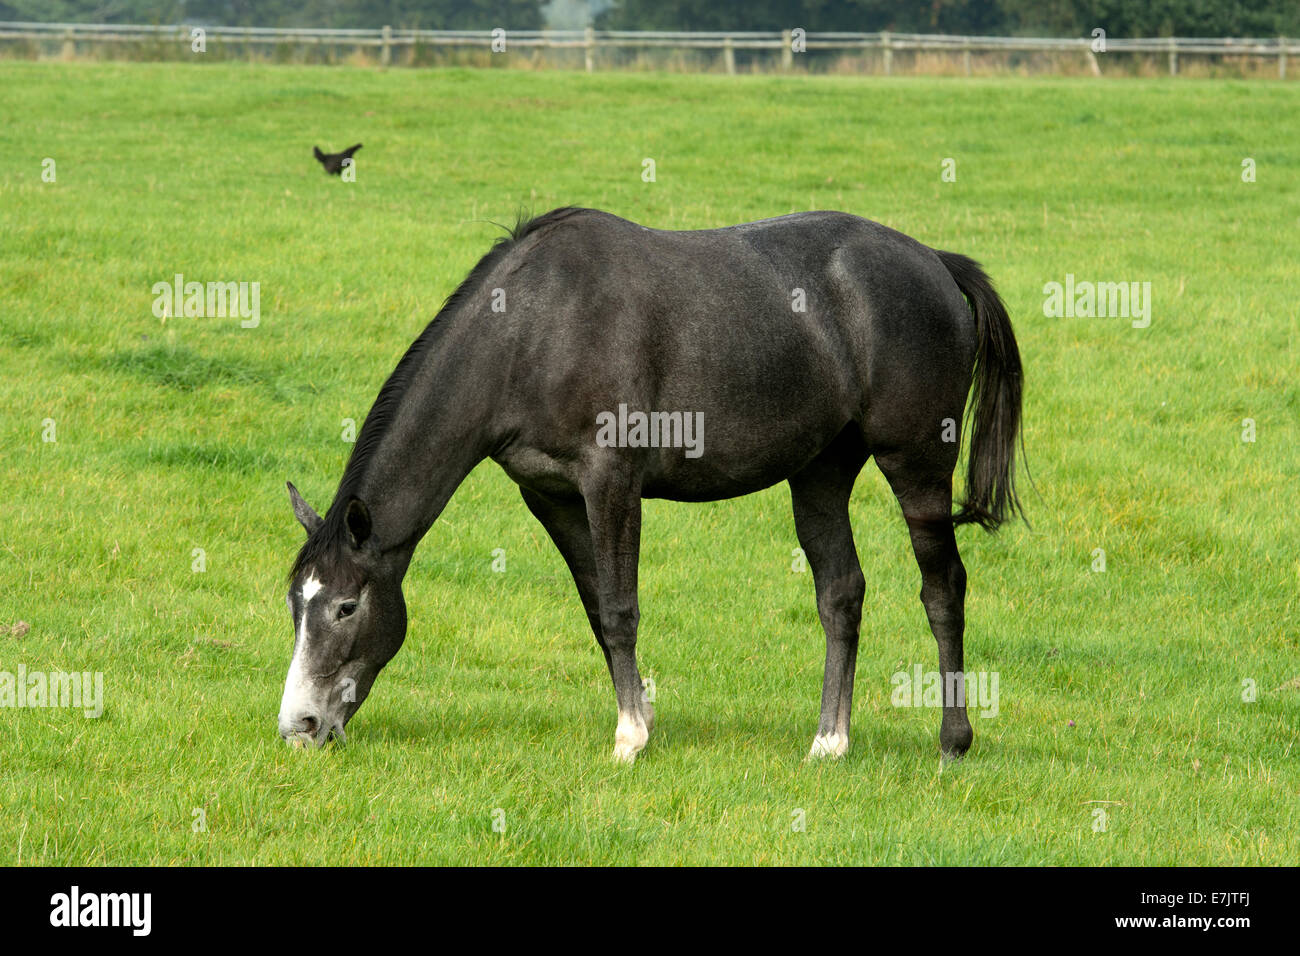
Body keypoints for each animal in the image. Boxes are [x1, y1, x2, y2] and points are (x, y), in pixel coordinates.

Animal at [279, 208, 1019, 764]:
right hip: (821, 472)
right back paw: (829, 742)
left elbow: (619, 609)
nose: (300, 727)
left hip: (917, 466)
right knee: (840, 595)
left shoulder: (612, 482)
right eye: (295, 604)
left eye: (346, 606)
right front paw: (640, 718)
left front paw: (630, 737)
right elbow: (595, 609)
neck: (532, 328)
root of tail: (935, 263)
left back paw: (953, 740)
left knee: (942, 589)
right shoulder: (551, 497)